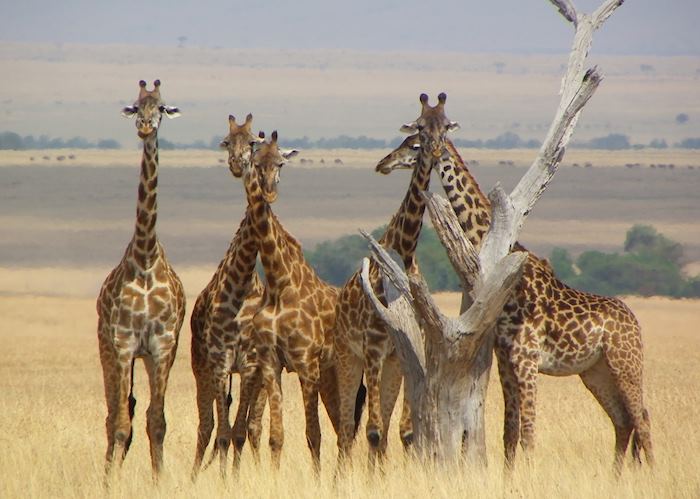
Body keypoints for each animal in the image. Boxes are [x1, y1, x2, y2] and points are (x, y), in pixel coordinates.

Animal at [241, 129, 360, 472]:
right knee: (342, 427)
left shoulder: (307, 363)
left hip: (341, 369)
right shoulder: (271, 362)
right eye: (256, 162)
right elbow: (276, 436)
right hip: (330, 375)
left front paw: (317, 478)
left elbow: (313, 434)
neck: (280, 284)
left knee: (345, 428)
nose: (268, 193)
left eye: (281, 162)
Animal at [334, 92, 460, 466]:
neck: (403, 252)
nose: (383, 163)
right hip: (347, 357)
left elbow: (404, 432)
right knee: (346, 430)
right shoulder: (373, 348)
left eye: (445, 126)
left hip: (389, 364)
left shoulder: (407, 348)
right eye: (417, 131)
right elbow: (373, 430)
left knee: (381, 430)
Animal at [374, 133, 652, 472]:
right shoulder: (506, 359)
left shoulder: (527, 358)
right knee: (623, 420)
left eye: (414, 144)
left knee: (642, 418)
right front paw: (511, 476)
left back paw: (650, 473)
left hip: (625, 364)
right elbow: (510, 431)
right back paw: (618, 476)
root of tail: (635, 323)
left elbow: (529, 431)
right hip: (595, 371)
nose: (384, 162)